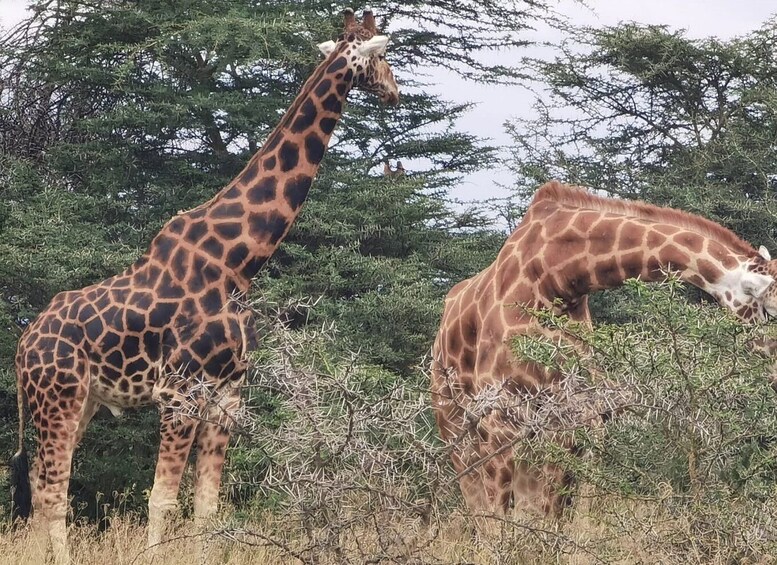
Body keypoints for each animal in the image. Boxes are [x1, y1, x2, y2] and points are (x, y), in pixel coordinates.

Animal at [10, 7, 400, 560]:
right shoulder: (180, 392)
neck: (240, 262)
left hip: (80, 402)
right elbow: (161, 499)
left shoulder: (227, 395)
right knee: (51, 494)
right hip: (57, 398)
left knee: (42, 488)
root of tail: (23, 345)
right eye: (382, 56)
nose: (395, 93)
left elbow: (207, 507)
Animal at [430, 181, 776, 516]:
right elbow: (499, 518)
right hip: (456, 433)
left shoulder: (572, 420)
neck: (556, 275)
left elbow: (554, 515)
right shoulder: (497, 420)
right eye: (770, 310)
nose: (773, 373)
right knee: (478, 508)